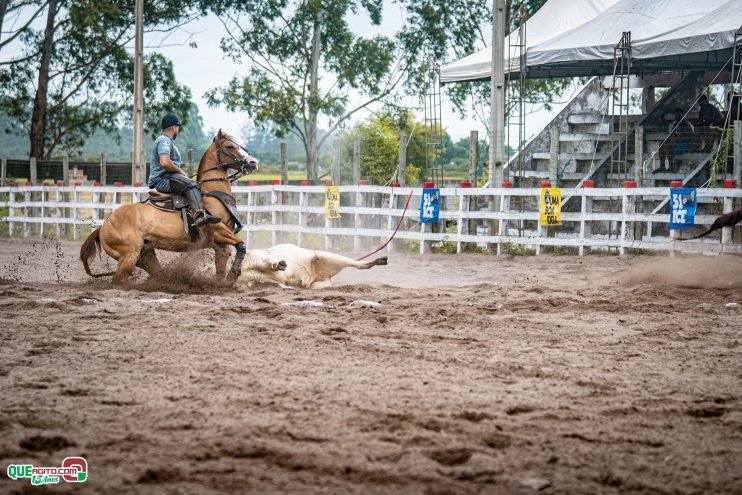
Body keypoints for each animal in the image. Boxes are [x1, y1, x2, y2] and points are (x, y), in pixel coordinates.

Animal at [81, 130, 258, 284]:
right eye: (230, 146)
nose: (253, 162)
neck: (213, 192)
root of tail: (103, 226)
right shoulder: (219, 230)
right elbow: (241, 245)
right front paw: (234, 274)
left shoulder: (219, 244)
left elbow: (222, 264)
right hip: (128, 257)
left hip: (145, 255)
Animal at [241, 245, 390, 290]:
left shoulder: (263, 257)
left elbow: (270, 263)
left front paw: (279, 264)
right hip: (320, 284)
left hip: (324, 256)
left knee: (358, 264)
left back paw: (380, 260)